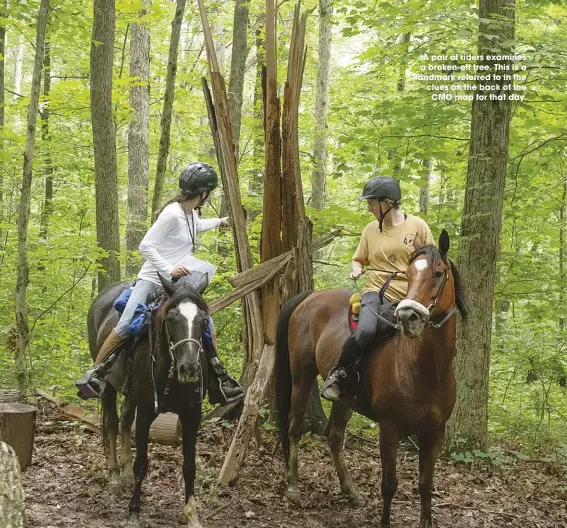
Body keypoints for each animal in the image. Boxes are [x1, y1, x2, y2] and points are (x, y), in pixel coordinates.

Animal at [89, 274, 211, 524]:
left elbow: (189, 466)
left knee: (126, 419)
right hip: (108, 387)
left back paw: (124, 471)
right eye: (172, 318)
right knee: (113, 423)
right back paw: (115, 474)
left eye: (203, 320)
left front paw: (191, 514)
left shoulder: (192, 415)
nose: (189, 368)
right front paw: (134, 512)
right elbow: (142, 463)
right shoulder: (146, 411)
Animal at [274, 231, 466, 528]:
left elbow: (425, 485)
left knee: (334, 436)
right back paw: (293, 485)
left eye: (437, 273)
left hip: (345, 399)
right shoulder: (389, 430)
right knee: (294, 426)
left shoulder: (435, 433)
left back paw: (350, 490)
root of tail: (310, 296)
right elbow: (389, 484)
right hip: (301, 375)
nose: (407, 317)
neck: (424, 371)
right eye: (409, 274)